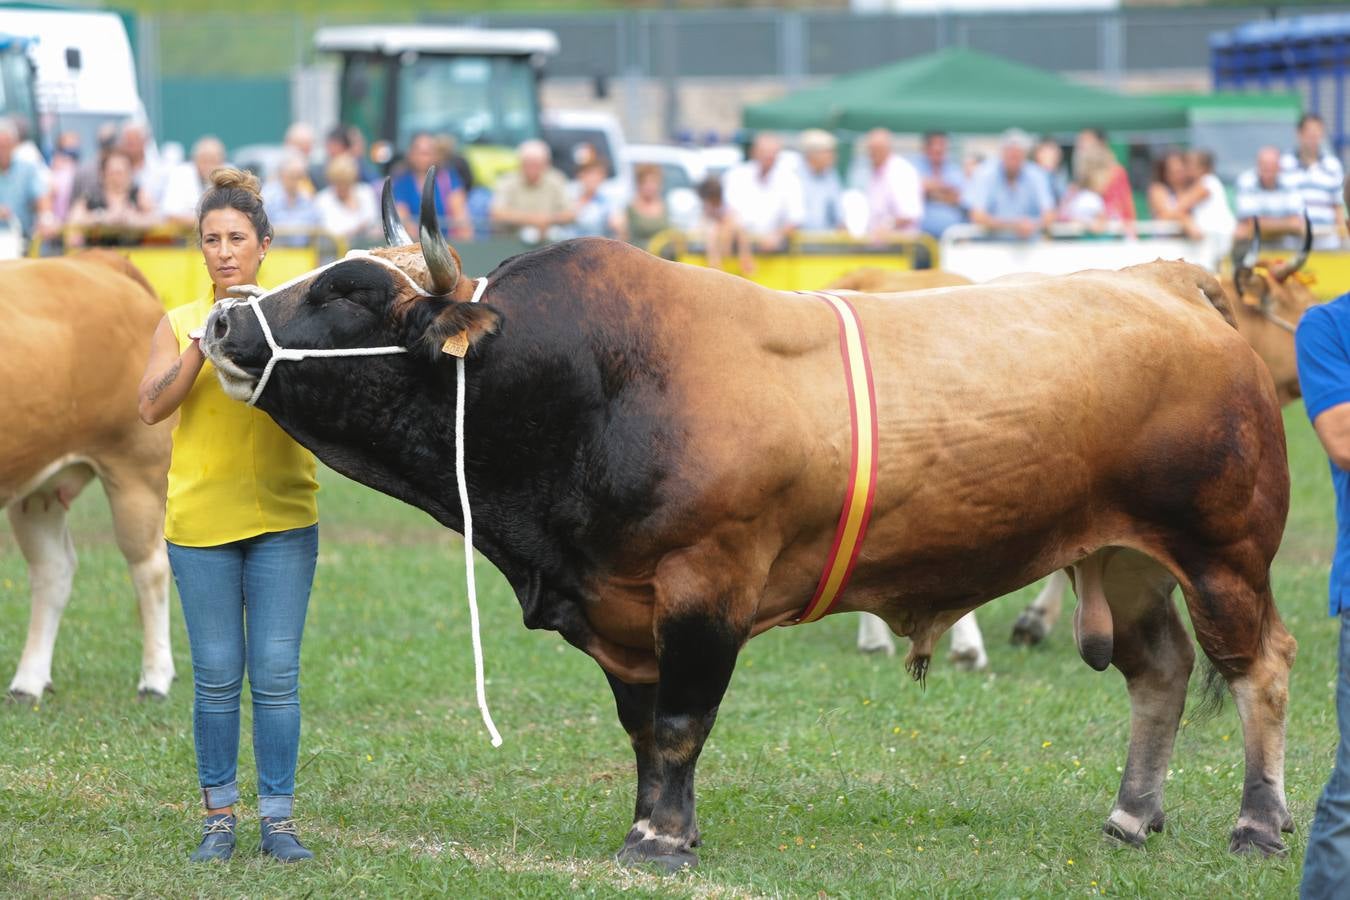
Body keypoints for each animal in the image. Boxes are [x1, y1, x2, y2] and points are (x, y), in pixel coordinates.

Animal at [0, 249, 176, 701]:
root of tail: (97, 260)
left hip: (138, 468)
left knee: (151, 567)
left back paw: (155, 678)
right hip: (38, 487)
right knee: (54, 570)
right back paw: (29, 682)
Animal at [197, 172, 1296, 868]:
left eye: (348, 292)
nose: (218, 319)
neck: (596, 382)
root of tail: (1166, 281)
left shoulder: (705, 585)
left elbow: (683, 723)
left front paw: (660, 841)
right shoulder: (622, 608)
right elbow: (645, 730)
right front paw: (656, 824)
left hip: (1223, 552)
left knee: (1261, 668)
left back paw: (1257, 824)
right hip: (1124, 559)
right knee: (1162, 671)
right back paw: (1132, 813)